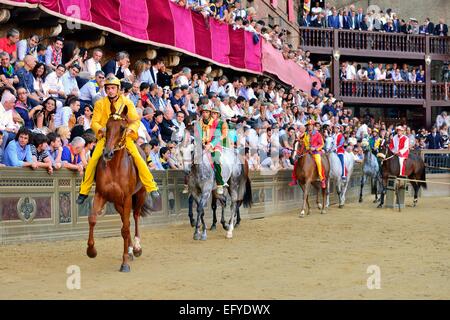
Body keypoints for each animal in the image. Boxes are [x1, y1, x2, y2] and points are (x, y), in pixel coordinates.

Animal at [86, 105, 153, 272]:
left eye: (122, 128)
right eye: (107, 126)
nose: (107, 153)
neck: (114, 168)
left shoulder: (128, 197)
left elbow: (125, 228)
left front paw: (125, 263)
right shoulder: (101, 194)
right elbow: (92, 219)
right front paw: (91, 251)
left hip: (139, 195)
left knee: (134, 217)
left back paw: (136, 248)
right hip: (117, 202)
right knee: (125, 219)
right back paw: (130, 249)